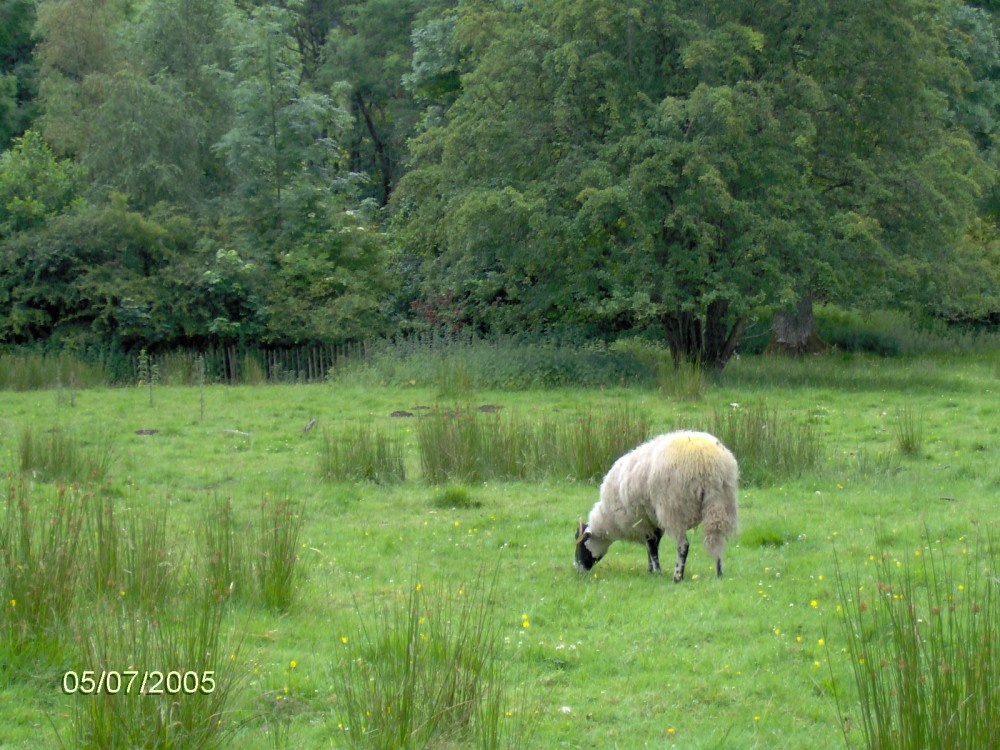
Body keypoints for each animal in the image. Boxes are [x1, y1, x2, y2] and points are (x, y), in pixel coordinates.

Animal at [576, 432, 740, 584]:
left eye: (581, 545)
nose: (577, 570)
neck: (609, 519)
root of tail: (709, 464)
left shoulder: (642, 520)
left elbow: (651, 546)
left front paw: (657, 571)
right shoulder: (653, 521)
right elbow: (653, 545)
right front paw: (650, 569)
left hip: (674, 508)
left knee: (683, 545)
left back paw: (677, 576)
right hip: (720, 503)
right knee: (717, 538)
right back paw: (719, 572)